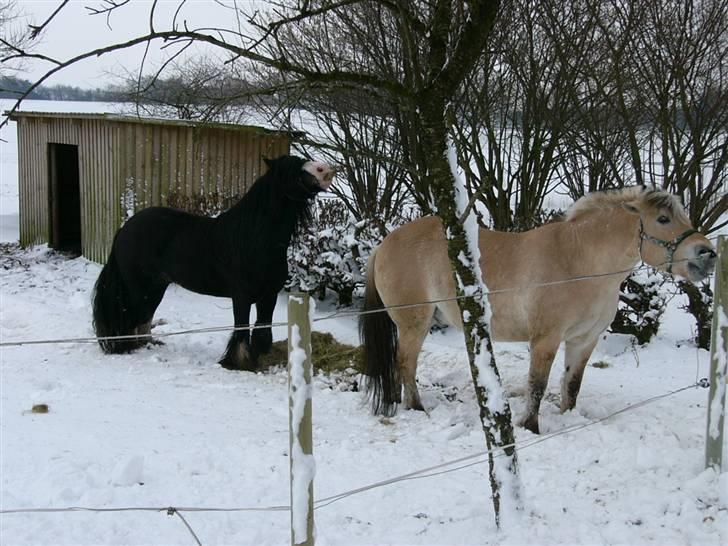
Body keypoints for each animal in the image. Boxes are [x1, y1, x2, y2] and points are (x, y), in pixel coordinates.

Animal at [92, 153, 336, 370]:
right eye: (293, 171)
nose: (325, 170)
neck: (254, 239)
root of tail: (125, 229)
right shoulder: (242, 297)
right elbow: (241, 329)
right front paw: (238, 363)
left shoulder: (268, 296)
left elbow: (262, 329)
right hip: (137, 288)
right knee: (130, 316)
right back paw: (125, 347)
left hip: (156, 287)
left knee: (144, 317)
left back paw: (147, 344)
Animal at [362, 185, 712, 432]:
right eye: (663, 219)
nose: (706, 254)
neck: (580, 262)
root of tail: (385, 243)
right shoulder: (546, 339)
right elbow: (538, 385)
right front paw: (530, 426)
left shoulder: (583, 341)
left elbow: (572, 383)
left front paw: (568, 417)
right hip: (414, 324)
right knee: (405, 363)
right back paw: (417, 408)